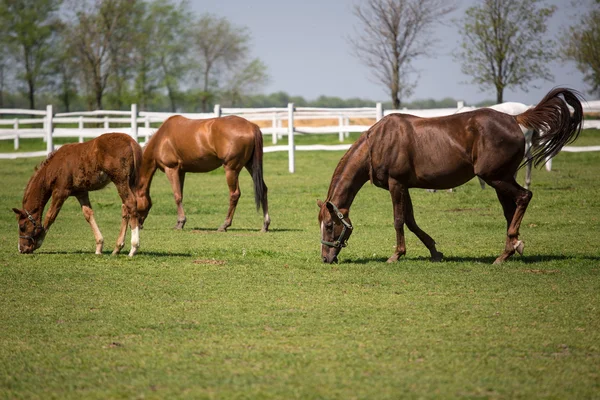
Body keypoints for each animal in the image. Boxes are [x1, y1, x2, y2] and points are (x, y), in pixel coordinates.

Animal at [12, 131, 144, 256]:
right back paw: (117, 248)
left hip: (120, 181)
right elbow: (88, 214)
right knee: (125, 208)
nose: (22, 249)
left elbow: (50, 216)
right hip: (129, 182)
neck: (54, 167)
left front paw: (39, 241)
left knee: (130, 203)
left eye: (22, 227)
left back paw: (133, 248)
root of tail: (130, 141)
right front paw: (99, 246)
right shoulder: (81, 192)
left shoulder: (60, 192)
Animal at [137, 114, 270, 233]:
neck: (162, 138)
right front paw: (180, 222)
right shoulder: (181, 172)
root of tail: (251, 126)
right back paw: (265, 225)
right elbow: (181, 195)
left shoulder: (171, 169)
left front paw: (180, 223)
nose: (139, 225)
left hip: (231, 170)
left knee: (234, 194)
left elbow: (177, 196)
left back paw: (224, 225)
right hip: (250, 165)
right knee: (263, 190)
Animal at [318, 87, 580, 264]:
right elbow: (411, 220)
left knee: (524, 197)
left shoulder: (396, 184)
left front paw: (396, 254)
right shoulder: (405, 186)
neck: (379, 142)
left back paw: (511, 247)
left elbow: (399, 220)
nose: (326, 258)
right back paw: (509, 250)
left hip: (496, 177)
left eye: (330, 225)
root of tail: (515, 119)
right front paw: (435, 251)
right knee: (511, 210)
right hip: (502, 180)